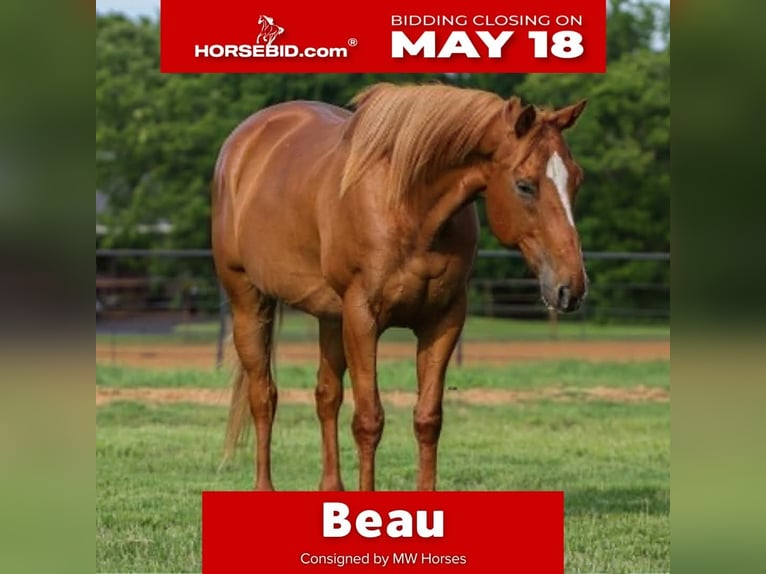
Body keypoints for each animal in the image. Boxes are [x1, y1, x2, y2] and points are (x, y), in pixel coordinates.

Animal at [212, 83, 588, 491]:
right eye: (524, 185)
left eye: (576, 179)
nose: (571, 287)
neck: (409, 205)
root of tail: (243, 143)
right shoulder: (362, 318)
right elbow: (368, 420)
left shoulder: (443, 320)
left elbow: (427, 418)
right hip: (249, 302)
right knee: (263, 395)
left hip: (330, 316)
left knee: (327, 396)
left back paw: (332, 488)